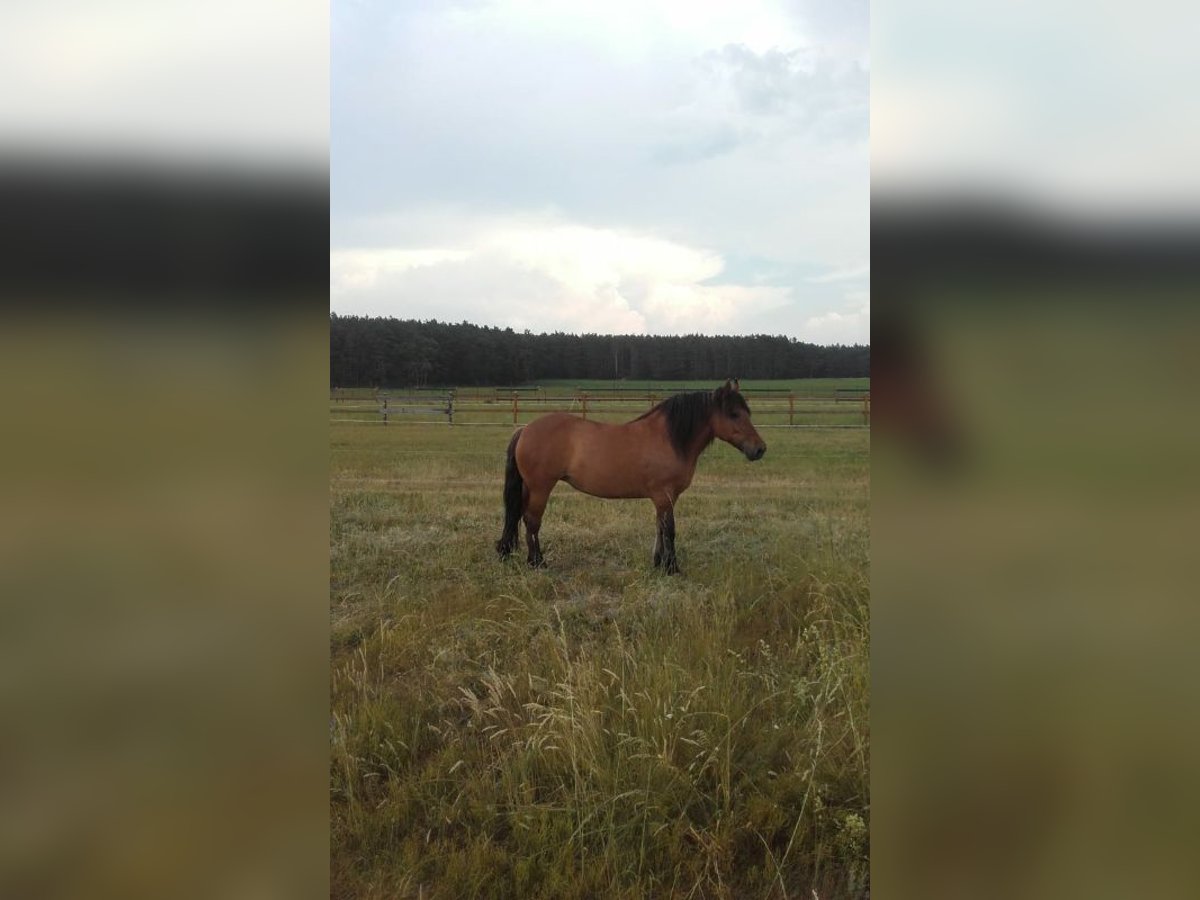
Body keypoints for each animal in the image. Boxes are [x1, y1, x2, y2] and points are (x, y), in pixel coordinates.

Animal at [494, 379, 768, 573]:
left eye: (747, 412)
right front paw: (672, 568)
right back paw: (537, 563)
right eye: (734, 414)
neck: (669, 438)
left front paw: (658, 563)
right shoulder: (664, 495)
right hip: (541, 487)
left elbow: (659, 528)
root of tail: (525, 429)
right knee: (532, 521)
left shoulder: (664, 499)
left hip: (530, 488)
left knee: (521, 518)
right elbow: (670, 530)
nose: (759, 449)